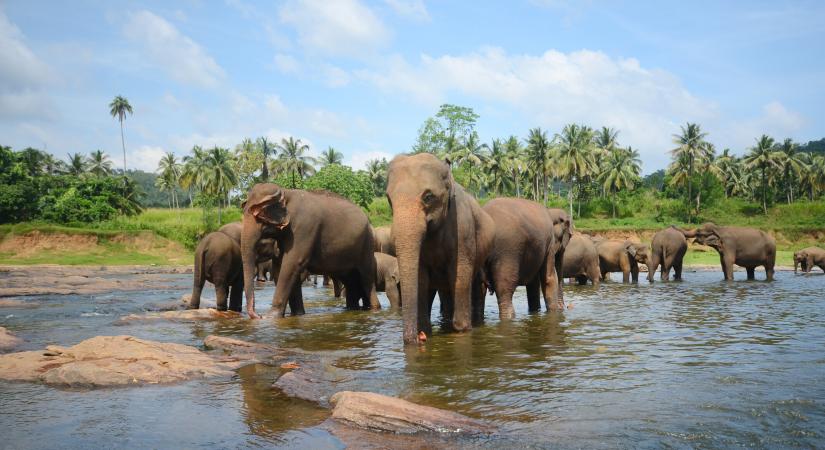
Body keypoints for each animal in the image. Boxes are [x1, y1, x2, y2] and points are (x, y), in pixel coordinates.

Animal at [240, 185, 378, 318]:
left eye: (259, 215)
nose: (257, 315)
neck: (285, 192)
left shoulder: (304, 227)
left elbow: (292, 263)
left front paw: (270, 317)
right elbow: (281, 266)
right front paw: (297, 314)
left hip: (367, 244)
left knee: (366, 278)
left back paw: (374, 308)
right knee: (351, 281)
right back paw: (352, 308)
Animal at [384, 153, 492, 342]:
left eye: (428, 197)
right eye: (389, 199)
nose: (419, 338)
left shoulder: (463, 229)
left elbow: (460, 274)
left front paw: (462, 330)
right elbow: (421, 278)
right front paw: (426, 330)